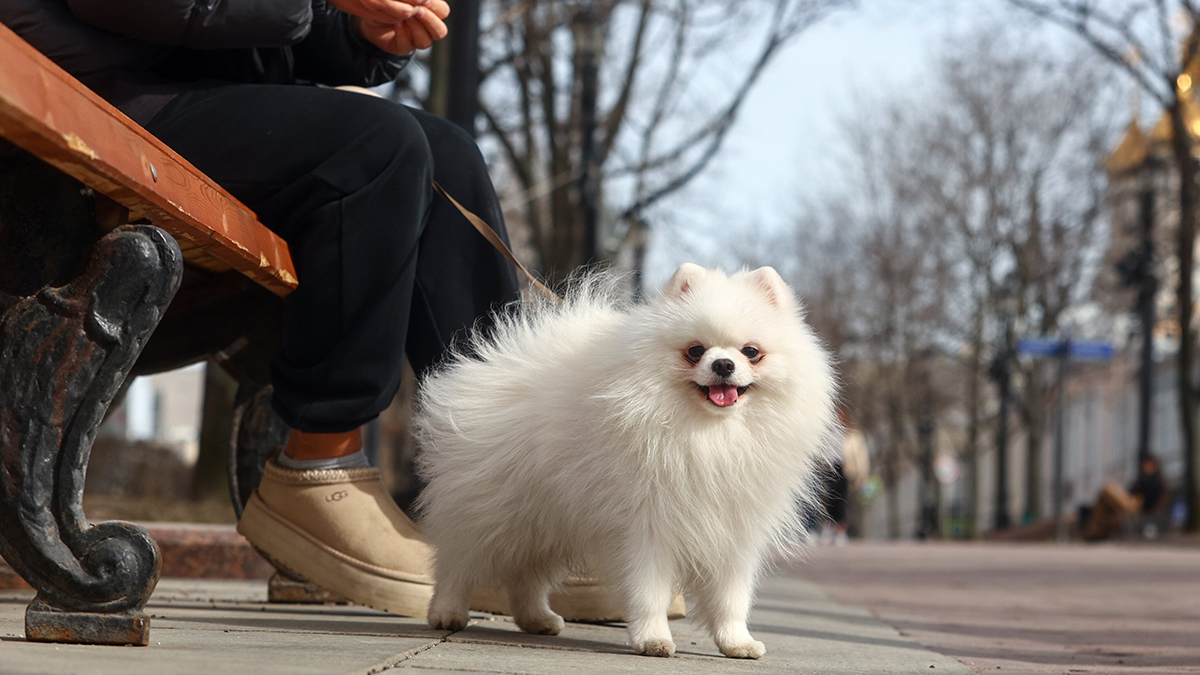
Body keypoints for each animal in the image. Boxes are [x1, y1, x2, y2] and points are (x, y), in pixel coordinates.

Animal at [417, 261, 840, 658]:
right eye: (695, 351)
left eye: (751, 352)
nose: (723, 364)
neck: (709, 434)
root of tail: (501, 365)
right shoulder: (646, 526)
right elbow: (648, 590)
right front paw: (653, 638)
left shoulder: (735, 530)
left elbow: (731, 598)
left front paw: (737, 642)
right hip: (491, 512)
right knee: (457, 562)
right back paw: (446, 612)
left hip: (545, 520)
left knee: (526, 576)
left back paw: (537, 619)